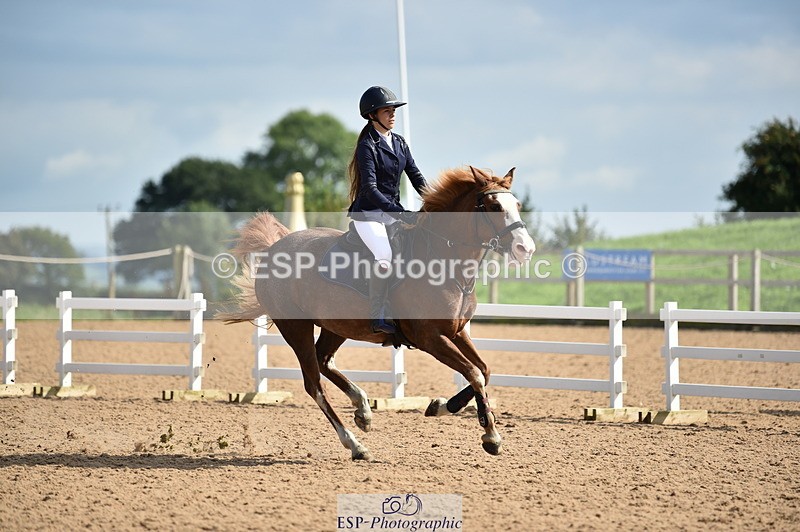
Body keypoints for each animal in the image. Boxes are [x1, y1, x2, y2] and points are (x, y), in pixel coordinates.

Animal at [219, 166, 535, 460]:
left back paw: (362, 409)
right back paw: (355, 445)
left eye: (517, 205)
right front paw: (491, 436)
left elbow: (484, 371)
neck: (445, 262)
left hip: (336, 326)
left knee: (324, 360)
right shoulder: (431, 338)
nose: (526, 249)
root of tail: (274, 248)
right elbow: (474, 373)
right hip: (296, 328)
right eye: (494, 207)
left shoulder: (456, 332)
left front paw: (443, 407)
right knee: (314, 384)